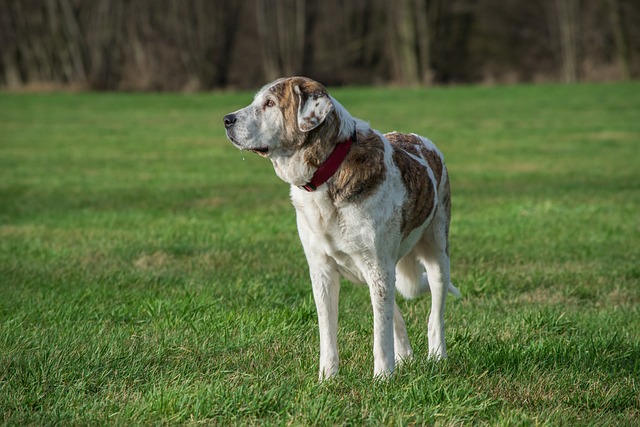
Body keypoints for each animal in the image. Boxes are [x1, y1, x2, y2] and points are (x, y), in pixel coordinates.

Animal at [222, 77, 458, 382]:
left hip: (436, 253)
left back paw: (437, 356)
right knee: (395, 312)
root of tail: (420, 139)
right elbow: (328, 331)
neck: (327, 175)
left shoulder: (378, 267)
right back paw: (405, 357)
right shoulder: (322, 269)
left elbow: (380, 333)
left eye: (270, 103)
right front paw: (327, 379)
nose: (227, 119)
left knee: (434, 313)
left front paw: (382, 378)